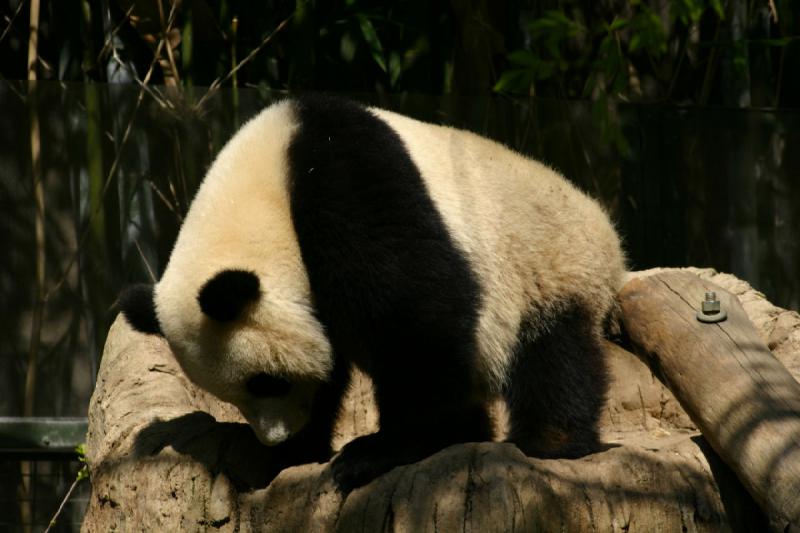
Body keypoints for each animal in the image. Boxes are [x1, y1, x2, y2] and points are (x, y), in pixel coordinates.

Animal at [120, 94, 624, 490]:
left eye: (266, 381)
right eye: (235, 395)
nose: (279, 436)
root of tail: (607, 233)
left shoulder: (347, 181)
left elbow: (413, 318)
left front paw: (384, 450)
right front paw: (292, 454)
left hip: (545, 265)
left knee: (555, 357)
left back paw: (550, 441)